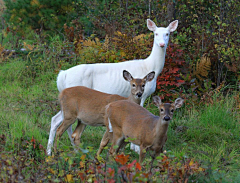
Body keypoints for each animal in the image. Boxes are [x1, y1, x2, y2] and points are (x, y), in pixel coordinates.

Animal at [46, 18, 178, 155]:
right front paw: (135, 148)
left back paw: (52, 151)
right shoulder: (143, 95)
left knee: (55, 120)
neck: (151, 67)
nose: (162, 44)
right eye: (156, 33)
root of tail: (62, 75)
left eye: (168, 34)